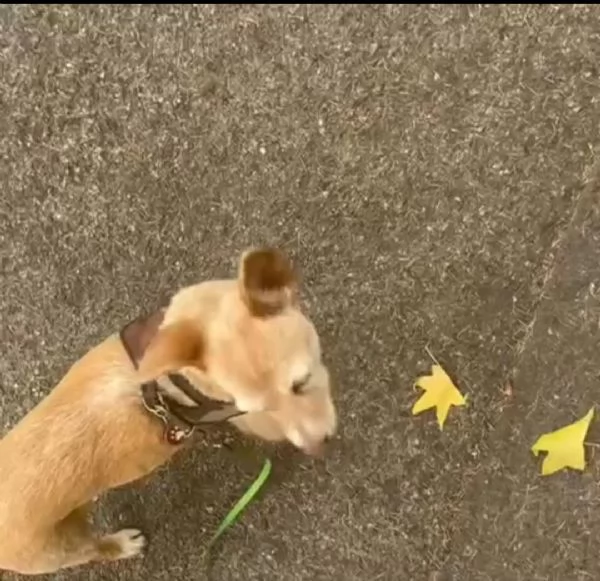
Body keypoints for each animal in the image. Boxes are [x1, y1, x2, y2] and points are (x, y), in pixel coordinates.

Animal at [0, 248, 336, 576]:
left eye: (301, 382)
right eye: (256, 409)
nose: (318, 448)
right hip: (59, 549)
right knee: (93, 550)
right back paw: (123, 544)